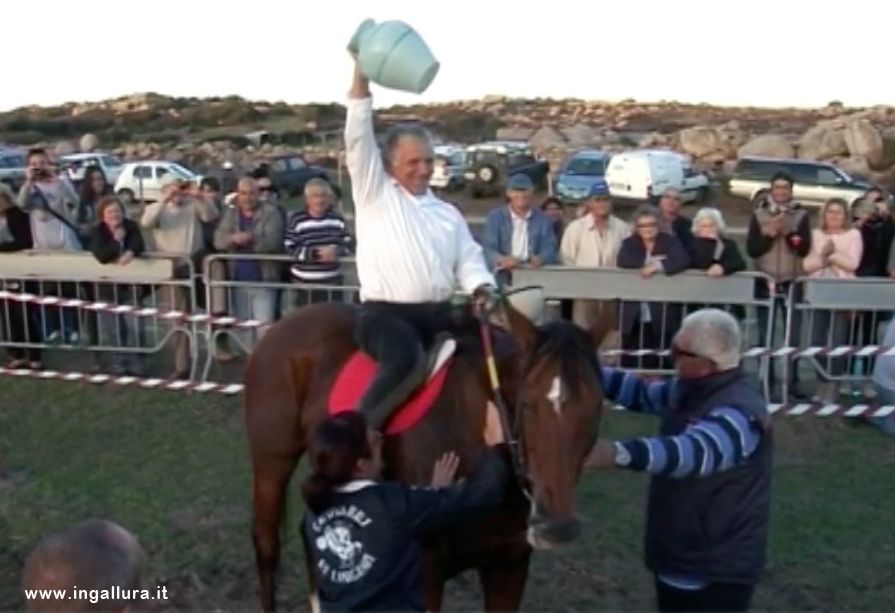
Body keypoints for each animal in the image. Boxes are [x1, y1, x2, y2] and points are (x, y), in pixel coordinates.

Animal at [243, 296, 608, 608]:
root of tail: (284, 323)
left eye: (596, 407)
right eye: (528, 404)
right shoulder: (427, 573)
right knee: (266, 546)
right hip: (272, 463)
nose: (556, 528)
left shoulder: (509, 567)